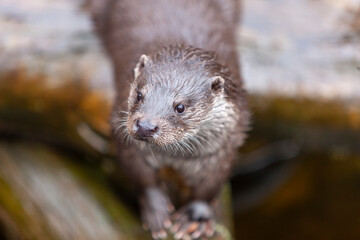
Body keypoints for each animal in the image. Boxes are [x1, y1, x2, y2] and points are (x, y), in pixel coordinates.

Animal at [89, 0, 250, 239]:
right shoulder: (127, 141)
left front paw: (195, 216)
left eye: (180, 107)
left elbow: (210, 184)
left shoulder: (224, 146)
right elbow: (141, 175)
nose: (146, 126)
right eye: (139, 94)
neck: (175, 158)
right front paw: (155, 208)